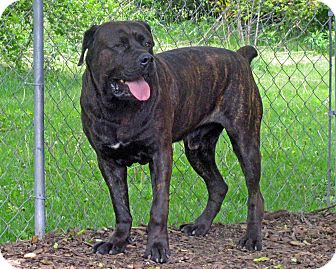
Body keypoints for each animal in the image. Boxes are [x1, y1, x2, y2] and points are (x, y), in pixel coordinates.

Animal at [78, 20, 262, 262]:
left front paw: (157, 246)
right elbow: (120, 205)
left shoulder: (160, 154)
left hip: (245, 142)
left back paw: (252, 237)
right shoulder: (107, 160)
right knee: (218, 186)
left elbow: (159, 205)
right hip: (198, 149)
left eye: (147, 43)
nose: (147, 59)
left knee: (255, 193)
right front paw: (117, 240)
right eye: (119, 45)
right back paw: (200, 225)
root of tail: (239, 56)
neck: (118, 110)